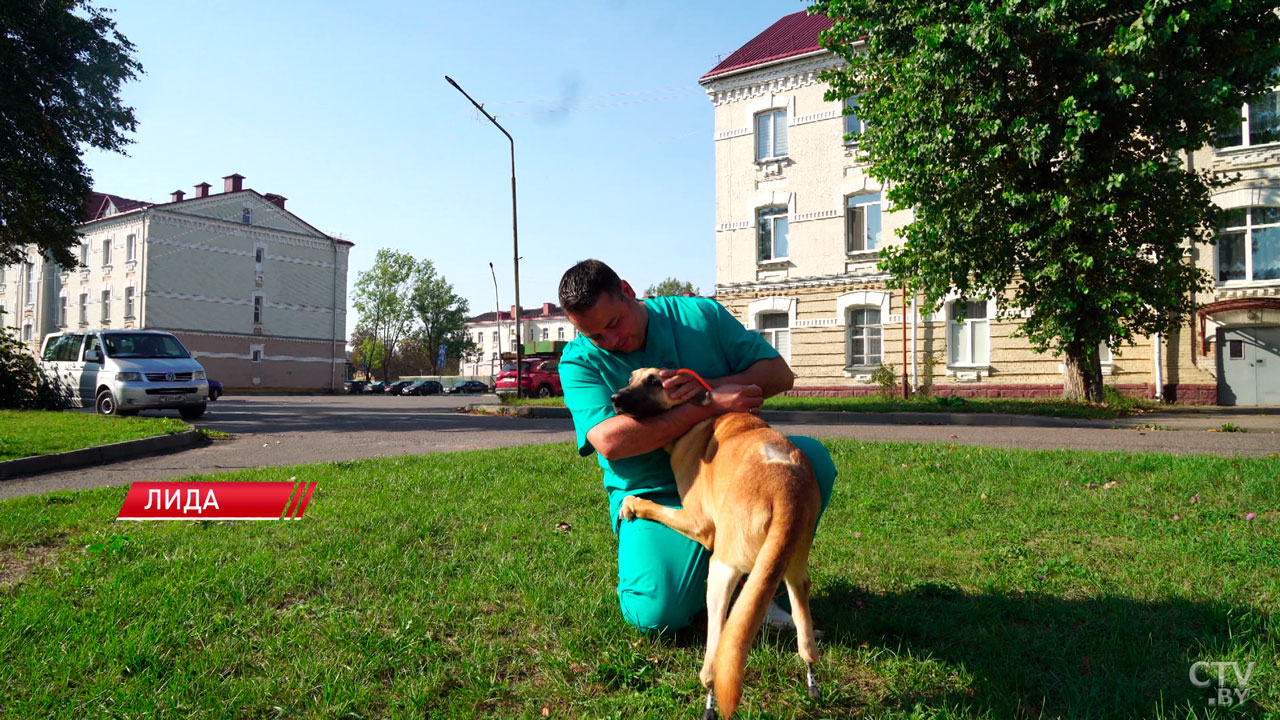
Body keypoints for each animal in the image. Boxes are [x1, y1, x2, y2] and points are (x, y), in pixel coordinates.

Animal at [609, 366, 819, 712]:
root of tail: (784, 488)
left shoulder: (698, 523)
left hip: (720, 570)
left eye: (655, 381)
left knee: (717, 649)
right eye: (630, 378)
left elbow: (651, 505)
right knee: (804, 633)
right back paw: (811, 674)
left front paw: (632, 505)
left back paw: (708, 690)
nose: (615, 398)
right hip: (794, 567)